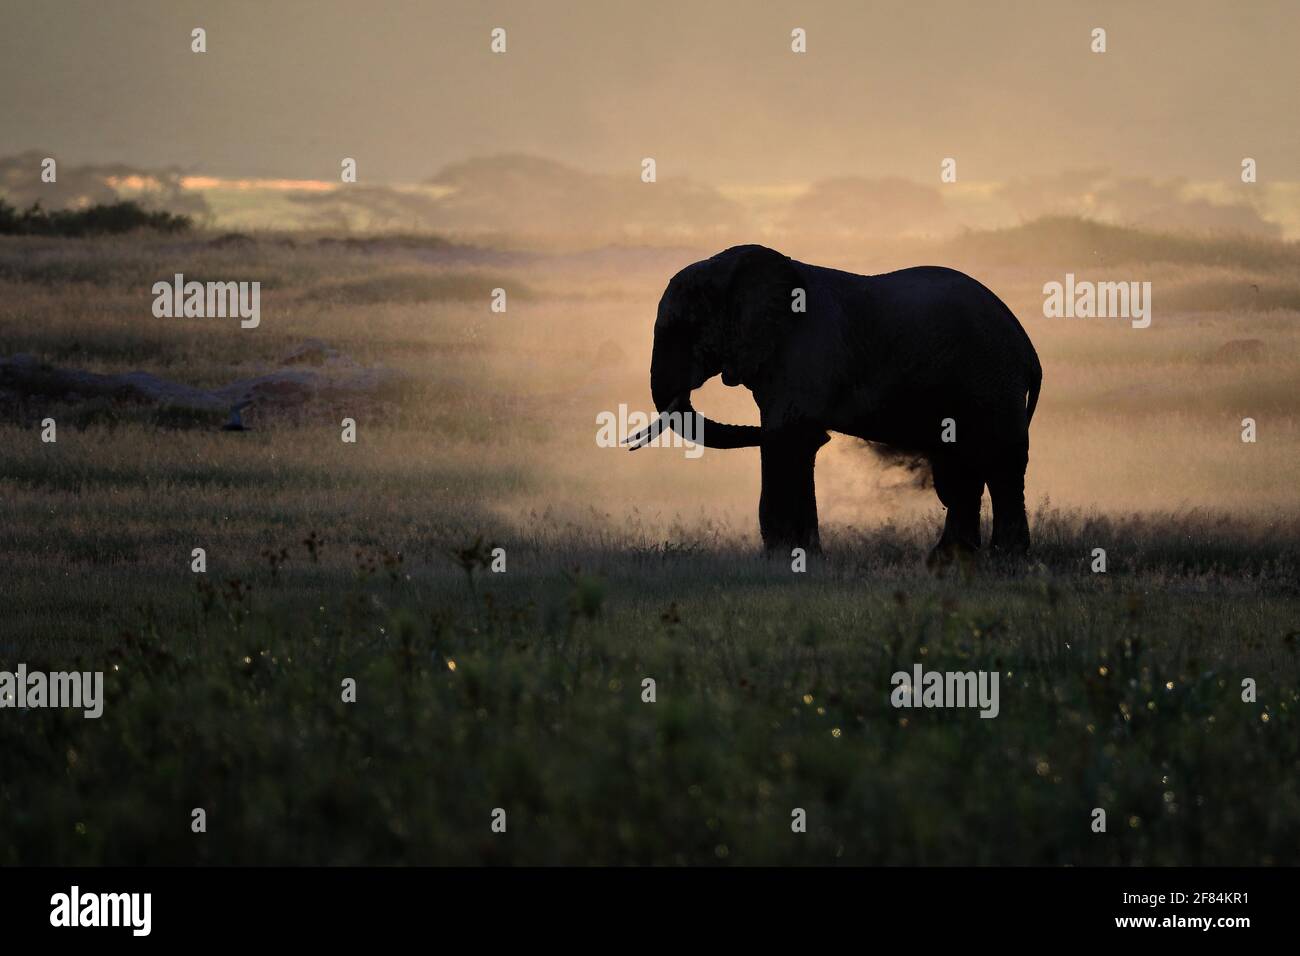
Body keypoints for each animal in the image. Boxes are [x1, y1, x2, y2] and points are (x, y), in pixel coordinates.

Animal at [624, 243, 1040, 564]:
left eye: (681, 328)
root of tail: (1026, 345)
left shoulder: (805, 349)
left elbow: (786, 436)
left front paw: (783, 559)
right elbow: (793, 440)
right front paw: (801, 558)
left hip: (991, 376)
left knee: (999, 461)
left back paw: (1004, 561)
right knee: (963, 468)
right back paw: (949, 562)